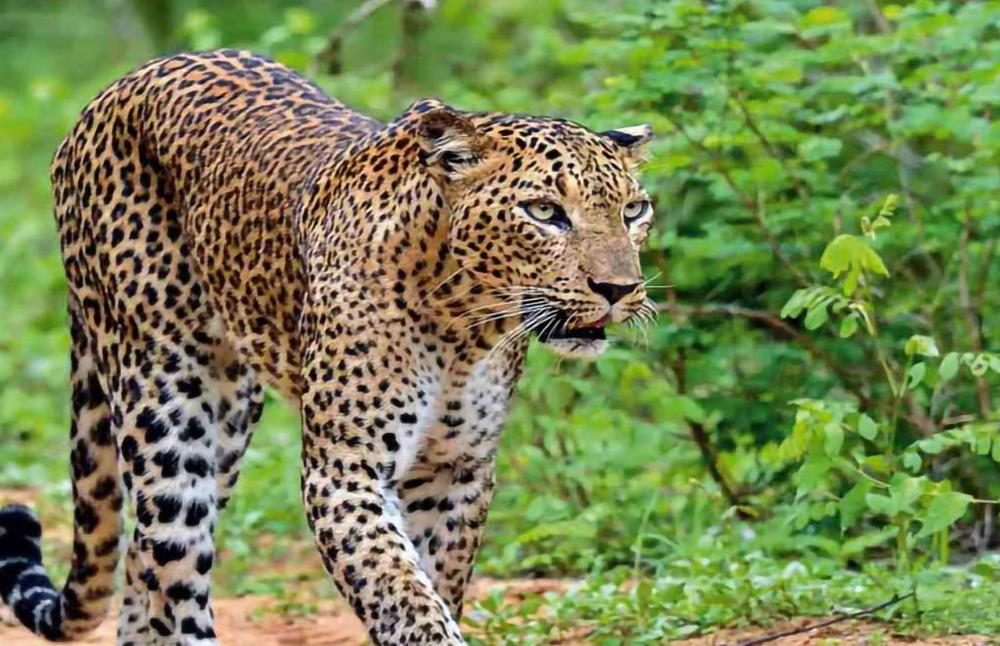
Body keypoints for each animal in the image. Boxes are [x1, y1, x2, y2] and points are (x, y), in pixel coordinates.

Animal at [0, 49, 654, 645]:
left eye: (634, 210)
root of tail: (117, 87)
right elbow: (405, 598)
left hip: (229, 420)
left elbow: (433, 585)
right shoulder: (345, 472)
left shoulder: (455, 471)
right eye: (544, 211)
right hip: (165, 403)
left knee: (144, 561)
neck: (462, 326)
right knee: (175, 565)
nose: (618, 289)